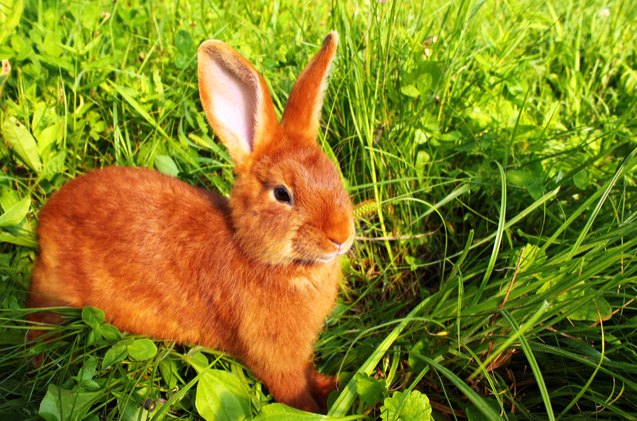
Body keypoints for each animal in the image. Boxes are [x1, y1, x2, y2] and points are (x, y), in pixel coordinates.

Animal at [28, 32, 352, 414]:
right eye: (282, 194)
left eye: (333, 173)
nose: (341, 235)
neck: (257, 255)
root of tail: (48, 216)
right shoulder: (274, 356)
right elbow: (292, 390)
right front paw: (315, 410)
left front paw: (331, 384)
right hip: (55, 291)